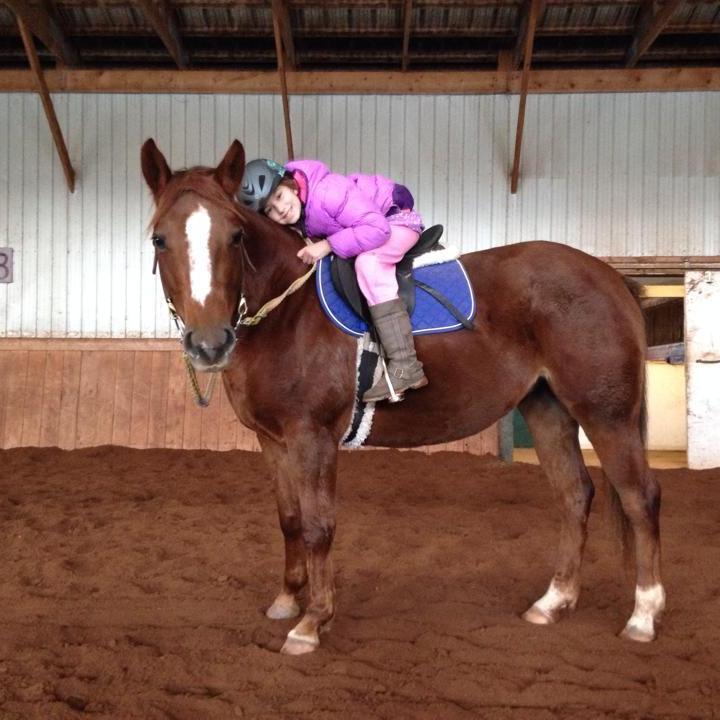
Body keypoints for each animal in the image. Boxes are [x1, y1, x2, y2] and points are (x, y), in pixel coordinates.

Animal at [140, 138, 664, 656]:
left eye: (235, 237)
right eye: (159, 239)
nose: (210, 344)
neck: (287, 310)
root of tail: (609, 277)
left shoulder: (313, 438)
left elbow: (317, 525)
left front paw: (313, 621)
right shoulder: (273, 440)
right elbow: (289, 519)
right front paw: (287, 600)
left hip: (607, 414)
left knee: (640, 497)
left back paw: (643, 615)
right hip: (548, 409)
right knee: (575, 494)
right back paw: (554, 602)